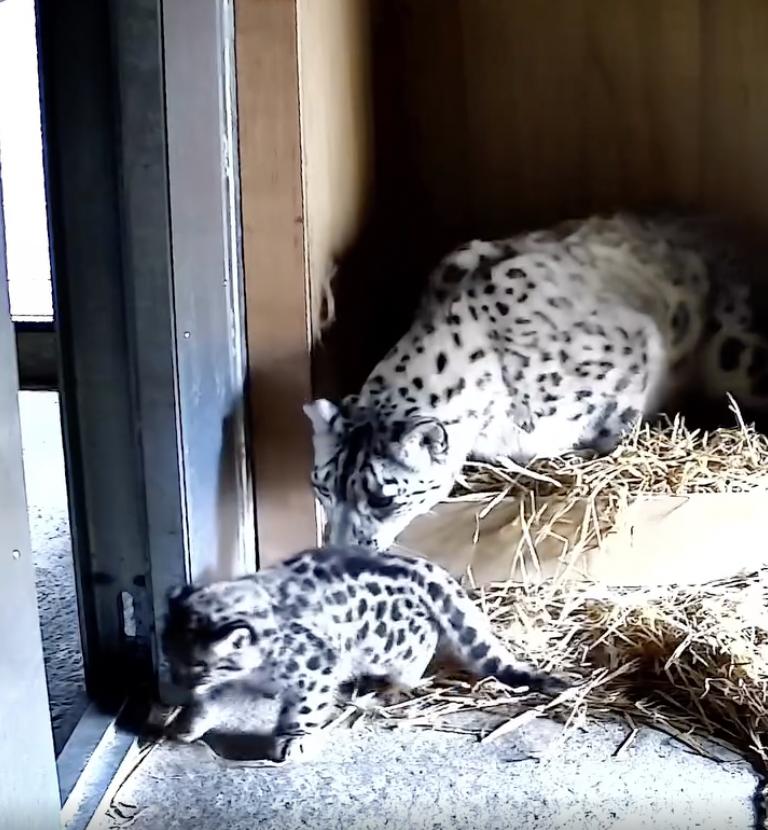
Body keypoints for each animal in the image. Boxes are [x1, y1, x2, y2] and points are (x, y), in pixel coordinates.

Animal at [161, 545, 565, 761]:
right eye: (168, 654)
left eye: (197, 664)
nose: (178, 683)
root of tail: (422, 567)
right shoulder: (232, 682)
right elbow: (212, 701)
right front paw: (187, 724)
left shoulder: (313, 669)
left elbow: (303, 708)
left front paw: (294, 740)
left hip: (392, 642)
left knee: (424, 641)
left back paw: (391, 686)